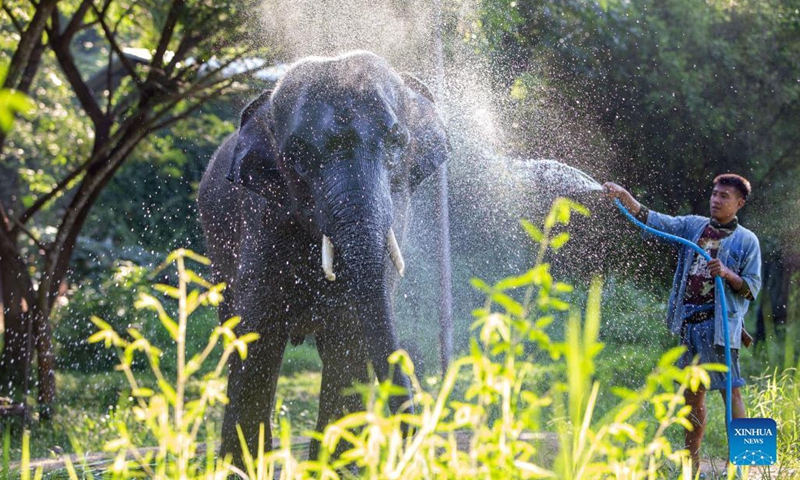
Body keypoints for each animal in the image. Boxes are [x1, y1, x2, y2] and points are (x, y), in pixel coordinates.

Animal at [197, 51, 449, 464]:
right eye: (297, 156)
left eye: (397, 141)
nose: (415, 445)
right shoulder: (261, 221)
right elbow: (257, 338)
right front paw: (243, 465)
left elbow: (350, 338)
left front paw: (336, 466)